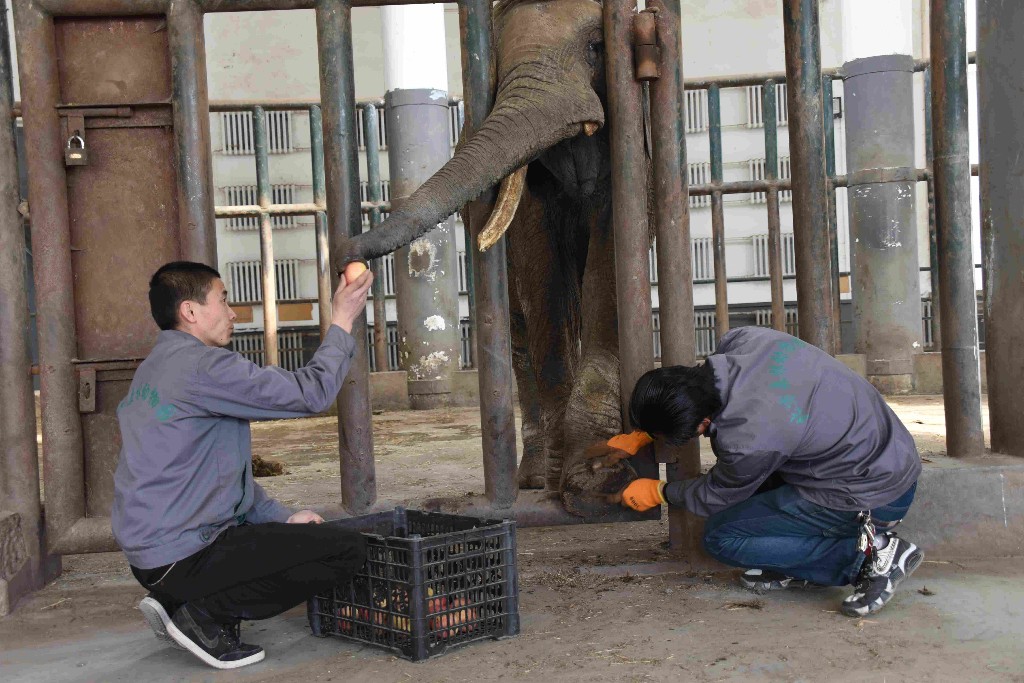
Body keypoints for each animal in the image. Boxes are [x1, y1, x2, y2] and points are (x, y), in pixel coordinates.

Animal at [343, 0, 654, 513]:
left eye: (596, 47)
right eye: (495, 64)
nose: (345, 252)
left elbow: (611, 266)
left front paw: (598, 483)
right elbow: (541, 270)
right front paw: (570, 481)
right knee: (520, 336)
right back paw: (532, 478)